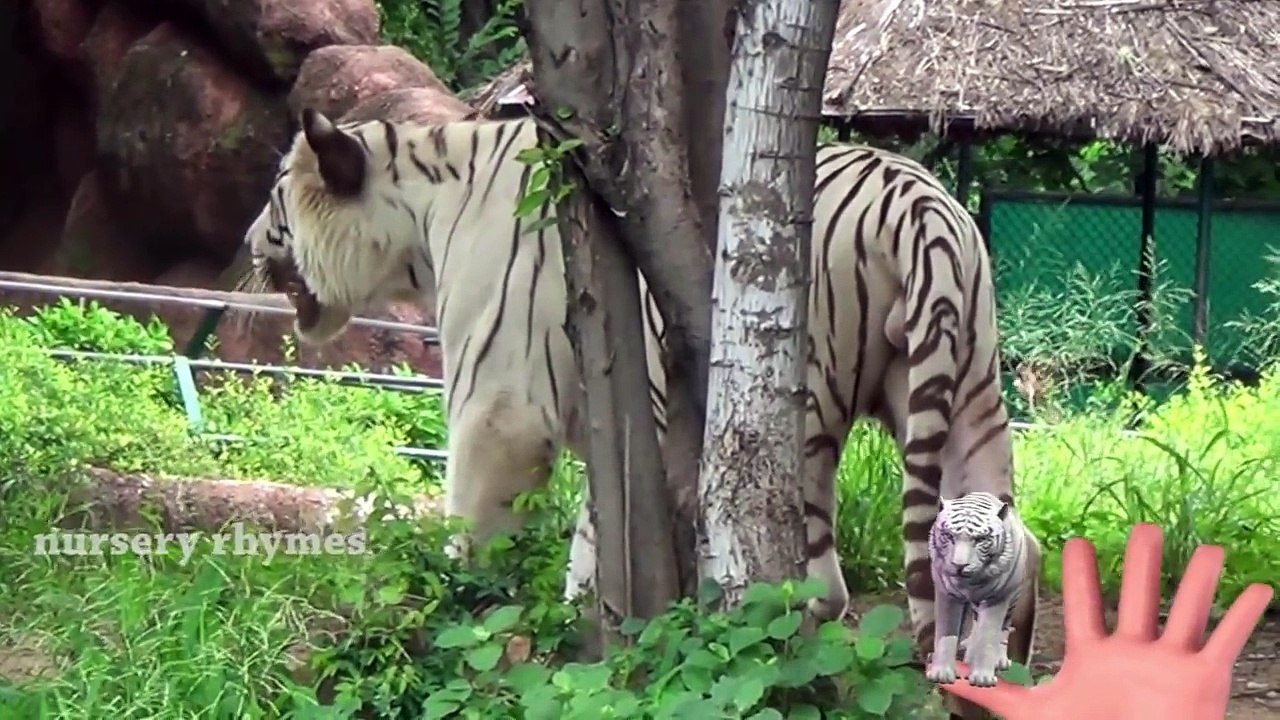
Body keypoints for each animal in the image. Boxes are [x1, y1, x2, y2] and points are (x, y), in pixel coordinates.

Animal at [926, 490, 1039, 688]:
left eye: (980, 540)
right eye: (949, 536)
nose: (959, 565)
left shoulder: (997, 599)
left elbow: (988, 637)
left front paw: (982, 678)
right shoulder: (947, 595)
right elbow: (946, 633)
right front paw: (941, 673)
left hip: (1013, 597)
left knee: (1003, 629)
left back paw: (998, 659)